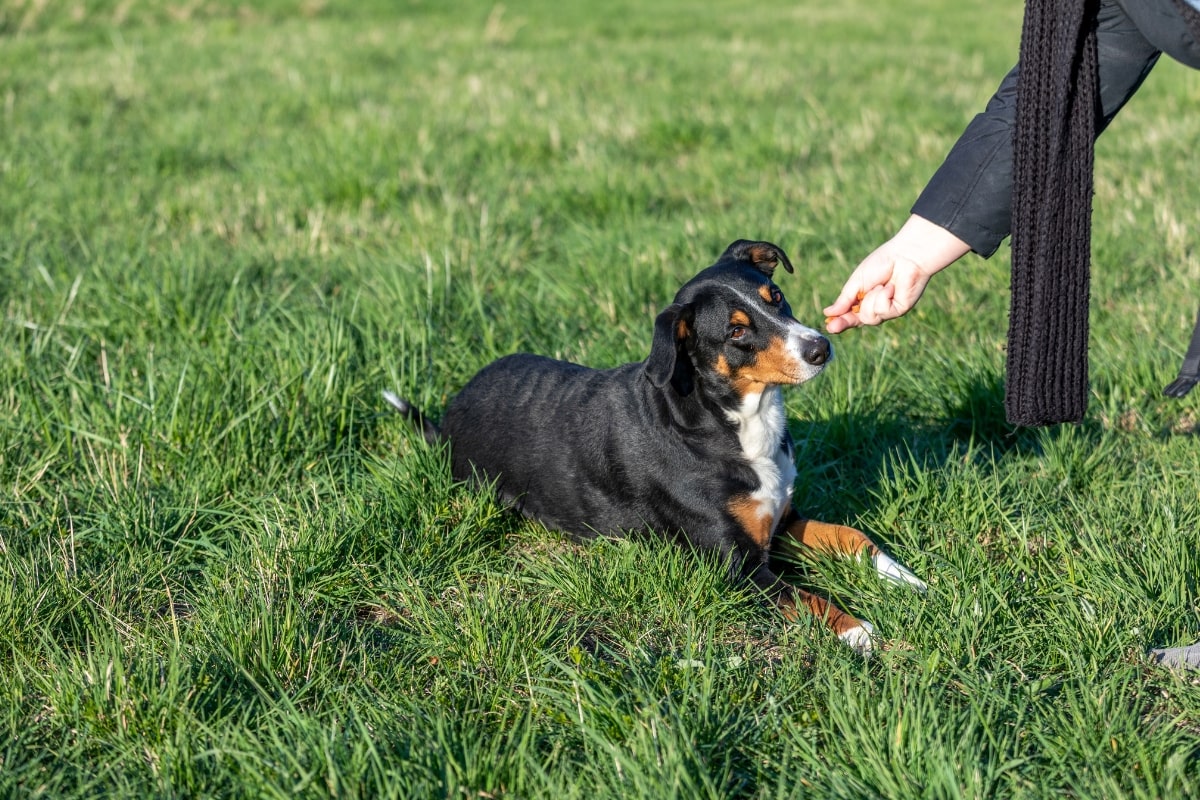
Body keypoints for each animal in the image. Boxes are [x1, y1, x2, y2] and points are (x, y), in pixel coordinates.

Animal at [379, 241, 921, 652]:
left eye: (777, 296)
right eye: (737, 330)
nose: (819, 348)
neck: (734, 423)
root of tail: (451, 412)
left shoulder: (782, 521)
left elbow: (852, 536)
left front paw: (906, 578)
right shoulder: (740, 566)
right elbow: (808, 598)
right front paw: (857, 630)